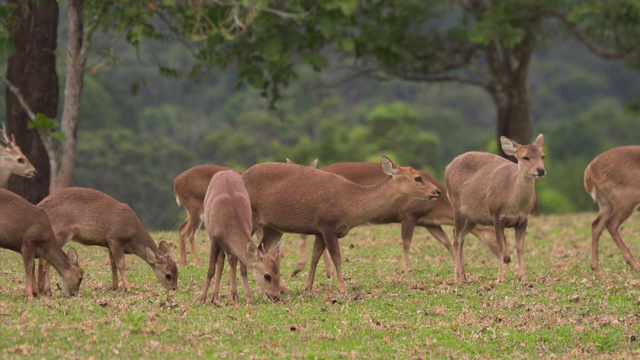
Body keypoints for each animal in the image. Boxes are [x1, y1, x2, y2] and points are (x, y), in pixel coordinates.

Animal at [37, 187, 178, 294]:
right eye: (168, 275)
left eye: (177, 272)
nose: (174, 289)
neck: (132, 238)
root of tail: (41, 205)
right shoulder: (115, 238)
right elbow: (121, 263)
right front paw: (128, 288)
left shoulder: (109, 243)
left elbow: (113, 264)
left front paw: (115, 287)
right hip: (61, 232)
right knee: (45, 260)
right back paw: (48, 290)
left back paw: (40, 289)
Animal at [198, 170, 282, 306]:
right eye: (267, 276)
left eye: (279, 273)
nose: (276, 297)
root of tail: (224, 171)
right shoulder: (214, 239)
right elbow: (211, 270)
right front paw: (202, 299)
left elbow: (243, 269)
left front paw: (248, 298)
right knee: (221, 263)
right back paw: (215, 296)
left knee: (231, 260)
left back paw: (233, 294)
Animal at [242, 155, 442, 296]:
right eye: (417, 178)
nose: (438, 191)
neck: (350, 205)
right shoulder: (328, 224)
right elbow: (337, 257)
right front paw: (343, 289)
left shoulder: (320, 230)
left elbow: (315, 257)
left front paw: (309, 289)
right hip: (252, 218)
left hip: (273, 227)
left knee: (262, 251)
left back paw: (281, 290)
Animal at [290, 162, 510, 278]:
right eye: (495, 233)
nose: (507, 258)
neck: (439, 209)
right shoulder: (409, 214)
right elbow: (406, 242)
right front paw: (405, 270)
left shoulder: (429, 222)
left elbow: (446, 241)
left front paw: (459, 269)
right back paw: (304, 268)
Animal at [444, 134, 544, 282]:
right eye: (525, 157)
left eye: (542, 156)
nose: (541, 170)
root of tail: (447, 167)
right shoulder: (497, 215)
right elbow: (501, 246)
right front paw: (500, 278)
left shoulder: (524, 219)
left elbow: (520, 247)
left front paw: (523, 277)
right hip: (456, 207)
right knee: (456, 238)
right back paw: (457, 276)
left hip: (473, 217)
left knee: (459, 235)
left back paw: (464, 275)